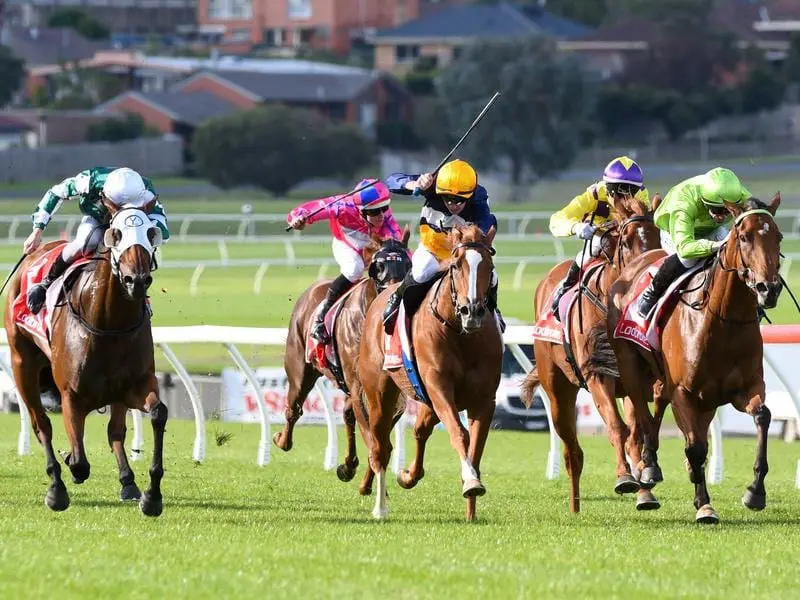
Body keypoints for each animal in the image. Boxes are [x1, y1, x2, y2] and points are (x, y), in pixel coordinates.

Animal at [3, 203, 167, 516]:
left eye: (151, 232)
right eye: (116, 233)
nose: (137, 280)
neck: (109, 323)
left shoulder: (134, 386)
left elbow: (157, 413)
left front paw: (151, 495)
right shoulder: (71, 395)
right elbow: (79, 462)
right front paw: (65, 471)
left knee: (115, 431)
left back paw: (128, 482)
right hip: (22, 365)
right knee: (42, 425)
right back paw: (56, 487)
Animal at [276, 227, 412, 486]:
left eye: (408, 265)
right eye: (379, 266)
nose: (395, 292)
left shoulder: (392, 393)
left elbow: (380, 438)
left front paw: (365, 479)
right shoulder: (359, 387)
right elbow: (374, 439)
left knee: (347, 414)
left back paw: (348, 466)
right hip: (300, 369)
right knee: (294, 408)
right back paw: (281, 439)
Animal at [356, 225, 500, 520]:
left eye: (489, 266)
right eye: (456, 265)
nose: (472, 311)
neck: (462, 336)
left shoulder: (484, 400)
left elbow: (476, 448)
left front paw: (471, 505)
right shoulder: (439, 388)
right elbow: (460, 433)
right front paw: (471, 482)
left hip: (425, 401)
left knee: (420, 430)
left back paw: (408, 476)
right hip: (379, 394)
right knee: (381, 448)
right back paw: (380, 508)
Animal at [520, 195, 664, 512]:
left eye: (658, 235)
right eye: (627, 242)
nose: (650, 271)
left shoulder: (636, 379)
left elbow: (637, 431)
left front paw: (645, 486)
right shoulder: (597, 373)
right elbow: (617, 427)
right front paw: (624, 477)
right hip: (558, 392)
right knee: (572, 452)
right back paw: (575, 507)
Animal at [600, 195, 780, 524]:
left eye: (779, 237)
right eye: (744, 237)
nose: (768, 288)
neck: (723, 321)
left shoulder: (744, 389)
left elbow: (762, 417)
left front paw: (755, 491)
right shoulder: (684, 391)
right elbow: (695, 447)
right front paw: (704, 505)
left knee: (659, 404)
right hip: (631, 365)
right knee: (643, 418)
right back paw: (646, 474)